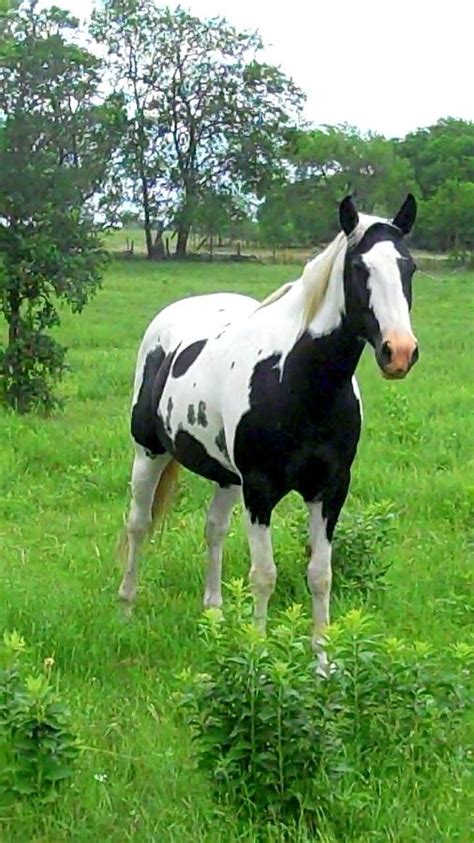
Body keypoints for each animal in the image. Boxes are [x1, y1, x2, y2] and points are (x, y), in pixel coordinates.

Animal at [119, 196, 418, 660]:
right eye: (358, 267)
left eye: (409, 267)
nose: (399, 352)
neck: (298, 382)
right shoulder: (260, 490)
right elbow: (264, 575)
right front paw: (258, 656)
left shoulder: (330, 490)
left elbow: (320, 574)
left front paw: (322, 661)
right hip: (149, 453)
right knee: (138, 525)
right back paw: (127, 609)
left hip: (227, 477)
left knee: (213, 530)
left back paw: (214, 614)